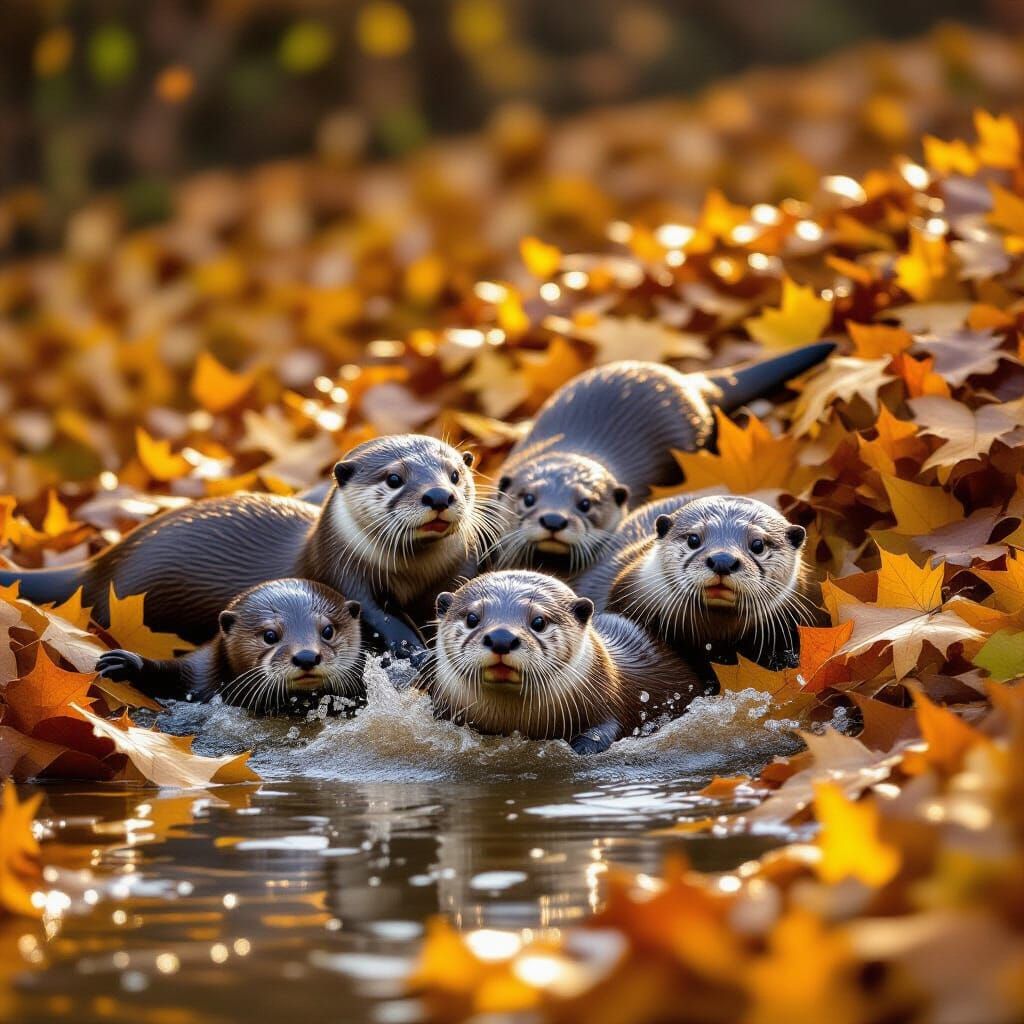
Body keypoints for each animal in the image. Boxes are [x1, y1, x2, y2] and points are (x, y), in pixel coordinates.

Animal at [0, 435, 481, 662]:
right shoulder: (344, 578)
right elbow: (379, 620)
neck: (414, 577)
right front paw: (415, 650)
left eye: (455, 474)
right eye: (395, 478)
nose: (439, 495)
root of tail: (98, 565)